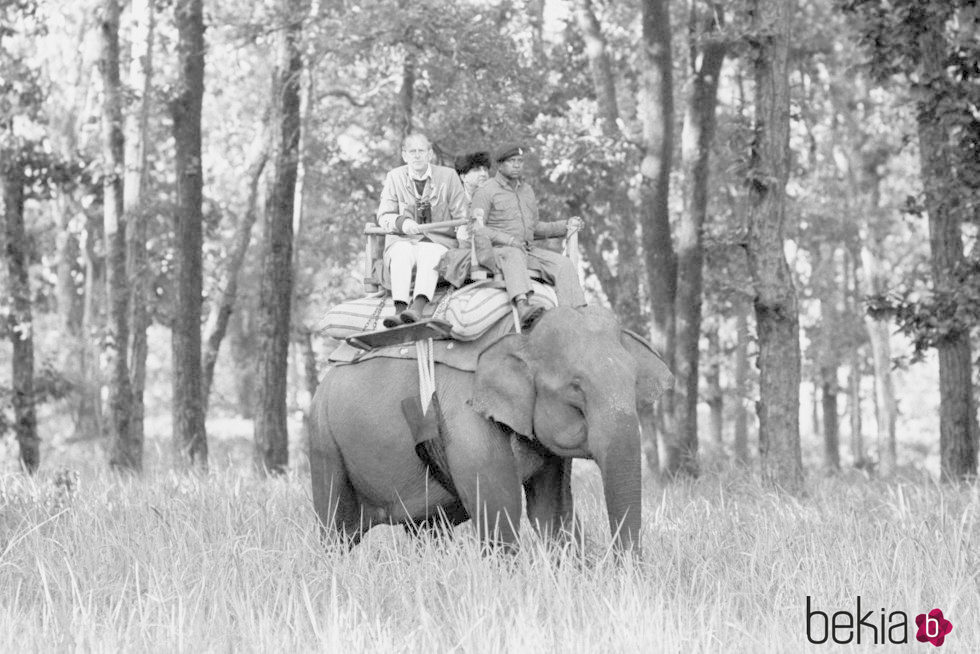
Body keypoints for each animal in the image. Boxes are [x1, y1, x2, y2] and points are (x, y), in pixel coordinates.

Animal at [308, 304, 672, 552]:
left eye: (634, 382)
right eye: (575, 388)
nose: (624, 569)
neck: (521, 332)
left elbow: (551, 512)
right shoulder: (466, 418)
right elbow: (498, 507)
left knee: (427, 530)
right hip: (324, 439)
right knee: (337, 529)